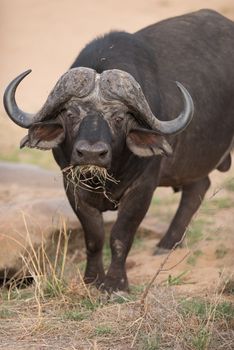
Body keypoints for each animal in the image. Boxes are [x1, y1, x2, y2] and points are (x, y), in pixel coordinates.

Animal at [3, 9, 234, 292]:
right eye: (70, 114)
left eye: (119, 117)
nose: (91, 153)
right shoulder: (72, 185)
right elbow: (94, 237)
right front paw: (92, 279)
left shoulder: (143, 187)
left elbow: (121, 235)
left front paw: (115, 284)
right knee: (198, 187)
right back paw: (167, 245)